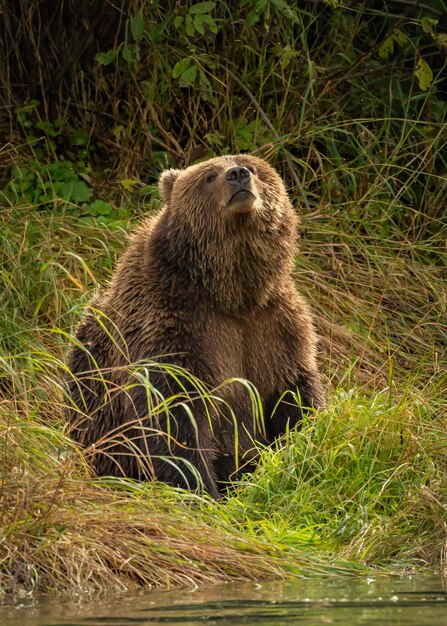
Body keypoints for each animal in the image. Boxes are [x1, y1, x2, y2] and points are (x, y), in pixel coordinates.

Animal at [66, 155, 324, 498]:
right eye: (209, 175)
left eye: (253, 167)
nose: (238, 175)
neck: (231, 293)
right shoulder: (173, 327)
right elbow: (174, 416)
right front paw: (201, 490)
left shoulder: (275, 327)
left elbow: (294, 396)